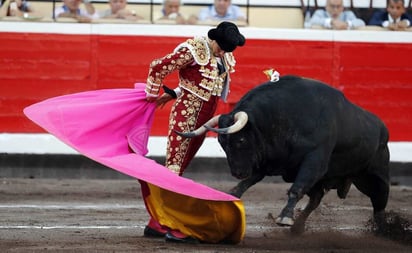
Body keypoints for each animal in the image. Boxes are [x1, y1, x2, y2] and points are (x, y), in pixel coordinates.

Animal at [177, 74, 390, 233]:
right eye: (222, 143)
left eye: (241, 140)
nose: (237, 172)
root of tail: (382, 128)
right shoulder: (267, 160)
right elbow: (245, 184)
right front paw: (228, 198)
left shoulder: (314, 160)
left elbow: (296, 188)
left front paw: (285, 217)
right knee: (316, 198)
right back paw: (298, 228)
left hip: (375, 177)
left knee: (379, 203)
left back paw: (383, 231)